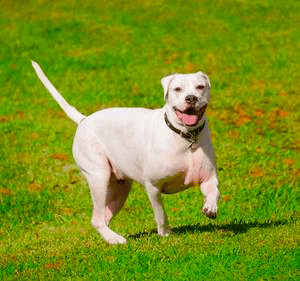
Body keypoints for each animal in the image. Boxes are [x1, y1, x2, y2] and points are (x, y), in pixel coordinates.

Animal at [31, 61, 219, 243]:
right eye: (177, 89)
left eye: (200, 87)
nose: (191, 98)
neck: (186, 136)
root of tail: (84, 120)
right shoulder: (153, 186)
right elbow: (160, 213)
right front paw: (165, 233)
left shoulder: (208, 176)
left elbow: (214, 191)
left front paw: (210, 207)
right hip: (99, 177)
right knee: (97, 218)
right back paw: (115, 239)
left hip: (119, 190)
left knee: (102, 216)